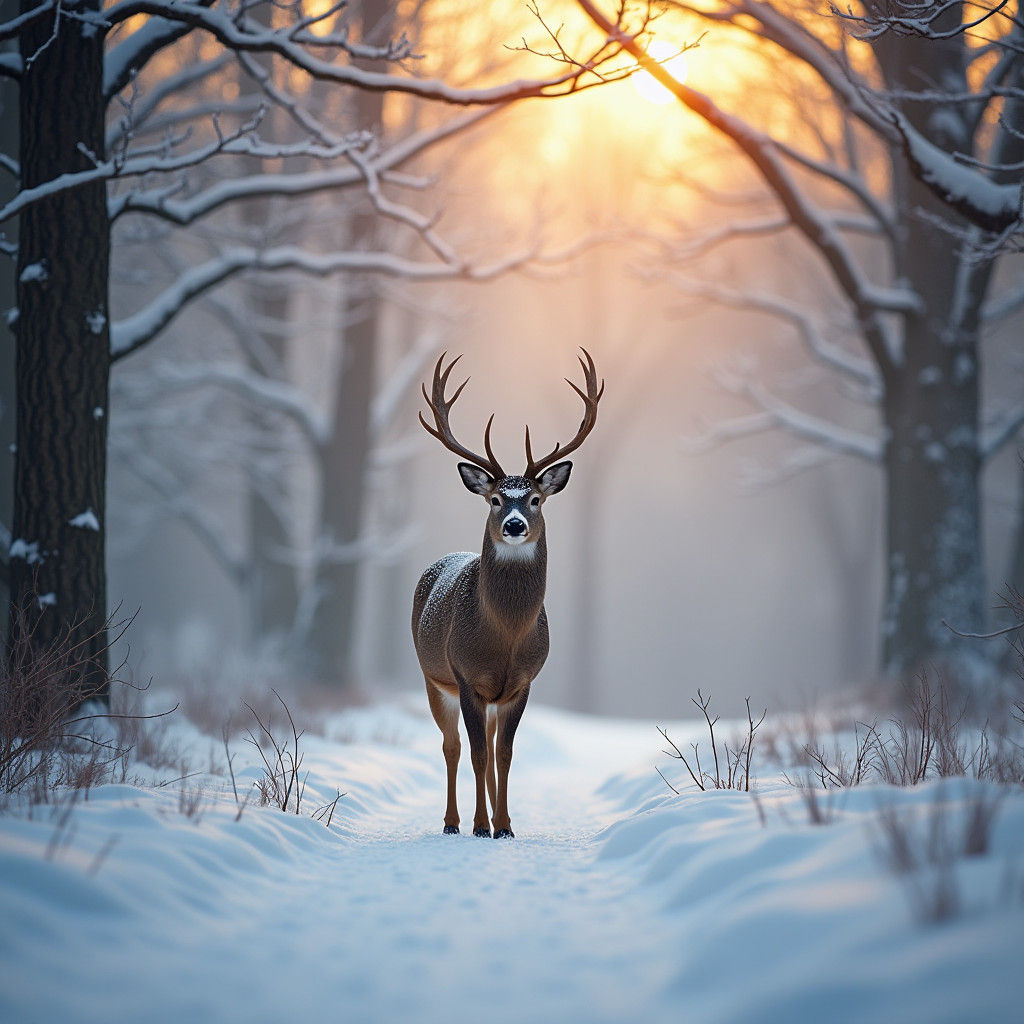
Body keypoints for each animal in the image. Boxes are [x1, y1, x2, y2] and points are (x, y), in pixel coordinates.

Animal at [411, 348, 603, 838]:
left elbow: (505, 754)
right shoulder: (466, 677)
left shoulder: (522, 683)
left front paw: (504, 826)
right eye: (495, 499)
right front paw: (481, 825)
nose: (514, 525)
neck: (505, 639)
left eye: (535, 499)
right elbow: (478, 754)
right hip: (431, 677)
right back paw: (452, 822)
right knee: (452, 746)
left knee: (489, 744)